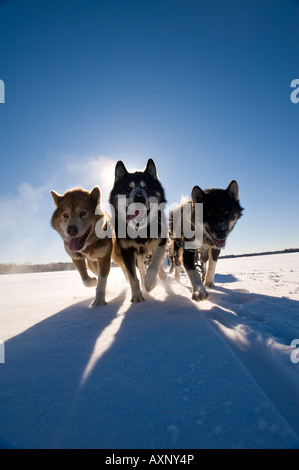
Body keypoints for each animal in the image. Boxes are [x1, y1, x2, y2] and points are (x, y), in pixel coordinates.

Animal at [109, 160, 168, 302]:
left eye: (146, 187)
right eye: (128, 189)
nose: (139, 198)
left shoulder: (160, 243)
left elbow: (154, 266)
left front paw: (150, 284)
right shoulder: (127, 251)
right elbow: (132, 277)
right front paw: (136, 295)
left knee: (157, 266)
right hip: (139, 257)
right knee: (141, 270)